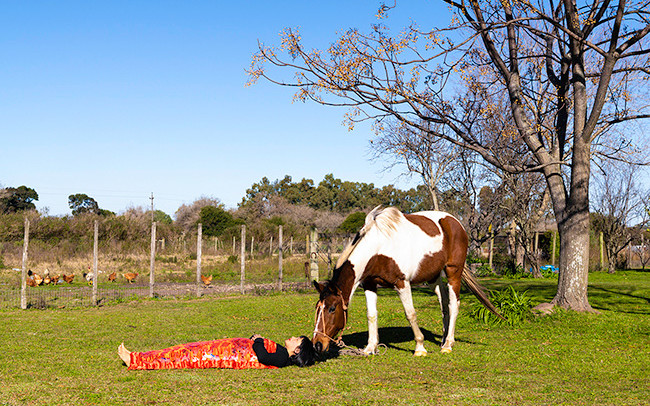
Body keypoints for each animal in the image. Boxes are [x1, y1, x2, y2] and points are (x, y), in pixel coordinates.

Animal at [312, 206, 502, 356]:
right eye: (317, 308)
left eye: (332, 308)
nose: (317, 344)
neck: (378, 248)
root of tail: (455, 222)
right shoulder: (369, 284)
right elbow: (371, 315)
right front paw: (370, 348)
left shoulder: (402, 283)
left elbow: (410, 314)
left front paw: (420, 347)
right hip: (433, 278)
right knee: (444, 305)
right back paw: (443, 340)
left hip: (453, 273)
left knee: (453, 305)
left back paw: (448, 344)